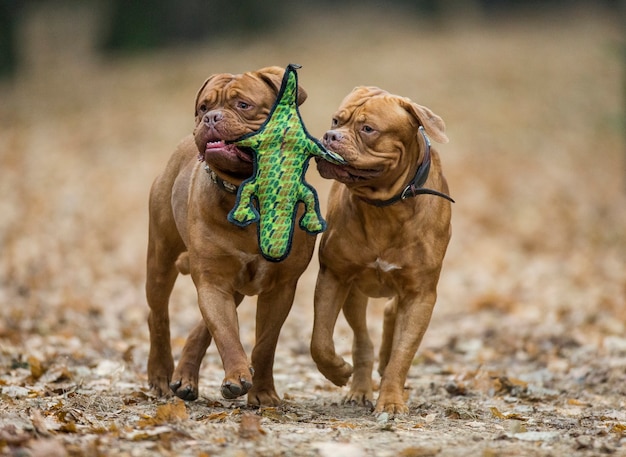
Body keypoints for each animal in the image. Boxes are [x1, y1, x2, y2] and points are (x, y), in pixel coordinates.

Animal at [144, 66, 314, 404]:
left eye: (243, 105)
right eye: (203, 107)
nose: (210, 118)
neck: (246, 190)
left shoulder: (281, 287)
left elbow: (265, 344)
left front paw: (263, 392)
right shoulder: (213, 281)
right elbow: (225, 333)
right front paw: (237, 375)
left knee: (200, 327)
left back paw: (185, 376)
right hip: (160, 261)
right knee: (158, 316)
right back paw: (160, 375)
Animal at [310, 85, 450, 414]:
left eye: (368, 129)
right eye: (336, 121)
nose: (330, 136)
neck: (386, 207)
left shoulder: (421, 294)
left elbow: (403, 353)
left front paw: (390, 401)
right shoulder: (334, 275)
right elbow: (320, 340)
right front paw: (337, 371)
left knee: (391, 319)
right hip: (355, 291)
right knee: (363, 340)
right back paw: (359, 387)